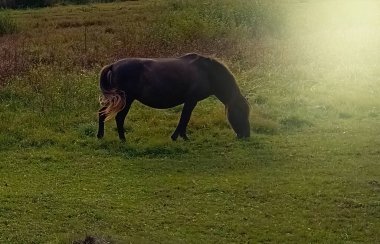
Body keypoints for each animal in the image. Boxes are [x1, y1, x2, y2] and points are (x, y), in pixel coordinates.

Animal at [96, 53, 251, 141]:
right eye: (241, 112)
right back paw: (122, 139)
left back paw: (100, 136)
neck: (207, 72)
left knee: (102, 113)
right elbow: (184, 119)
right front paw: (179, 137)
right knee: (119, 118)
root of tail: (113, 65)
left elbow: (185, 119)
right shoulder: (191, 100)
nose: (247, 135)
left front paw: (182, 136)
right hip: (126, 100)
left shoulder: (191, 101)